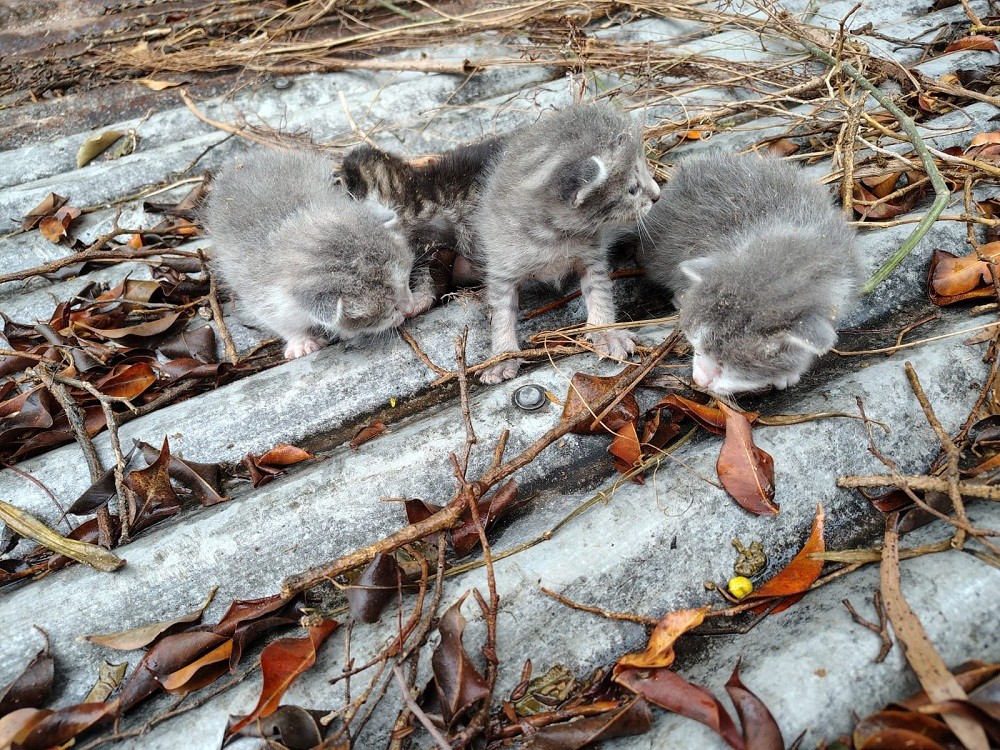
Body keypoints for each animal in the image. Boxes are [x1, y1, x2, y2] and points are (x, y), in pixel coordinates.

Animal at [207, 151, 430, 362]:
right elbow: (281, 323)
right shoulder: (258, 292)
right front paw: (302, 343)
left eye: (407, 283)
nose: (409, 309)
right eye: (390, 309)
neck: (292, 224)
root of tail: (236, 162)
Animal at [470, 103, 660, 384]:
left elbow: (600, 292)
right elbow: (501, 312)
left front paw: (606, 332)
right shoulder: (502, 266)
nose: (657, 194)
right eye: (633, 189)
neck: (552, 237)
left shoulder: (592, 257)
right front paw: (502, 355)